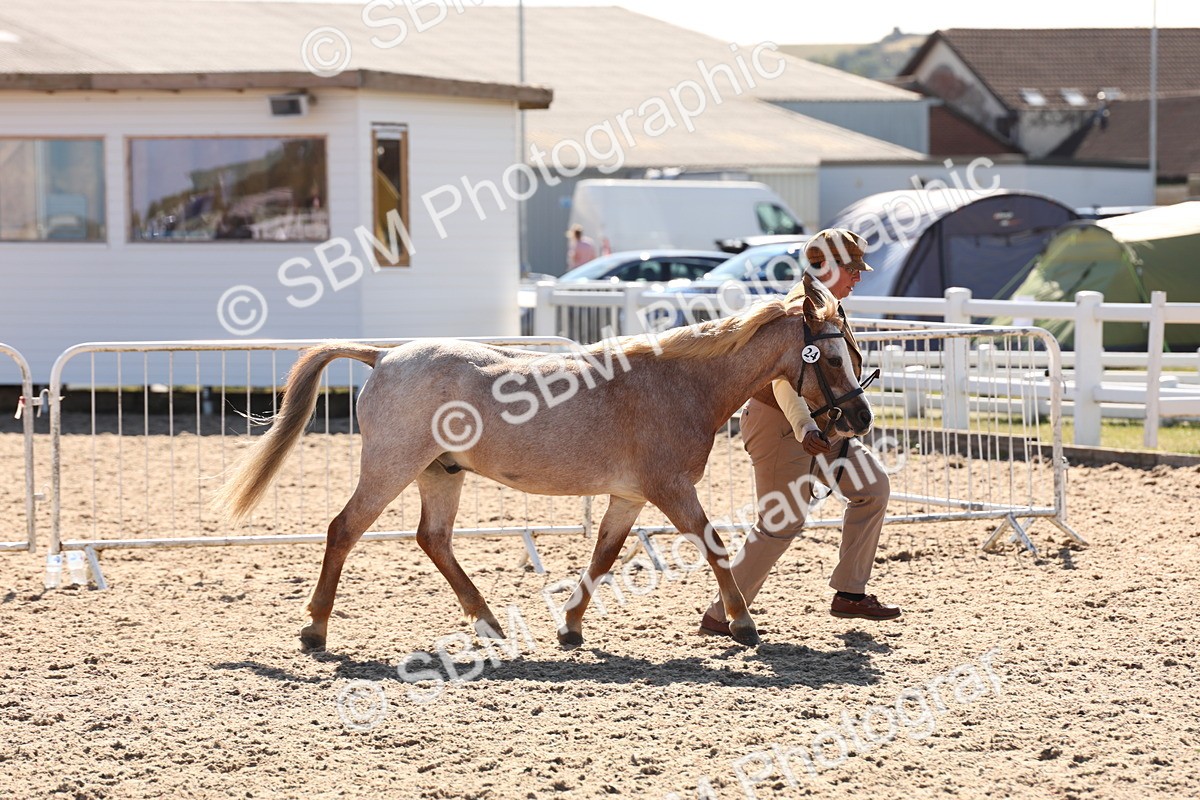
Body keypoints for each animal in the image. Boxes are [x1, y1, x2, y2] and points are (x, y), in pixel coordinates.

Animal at [216, 281, 872, 651]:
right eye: (829, 356)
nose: (859, 419)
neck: (680, 383)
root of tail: (384, 356)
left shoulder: (630, 495)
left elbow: (604, 556)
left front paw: (571, 627)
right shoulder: (670, 488)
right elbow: (712, 545)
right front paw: (742, 625)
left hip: (440, 473)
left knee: (434, 540)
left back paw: (488, 624)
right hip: (390, 467)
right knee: (344, 530)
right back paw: (316, 630)